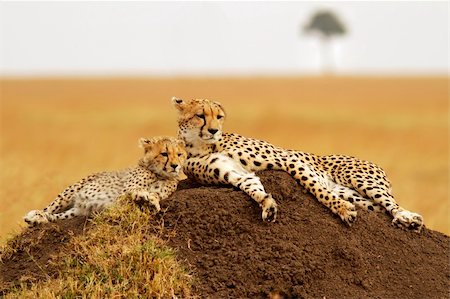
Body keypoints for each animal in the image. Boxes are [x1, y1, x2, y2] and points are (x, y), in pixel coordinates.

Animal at [24, 137, 186, 226]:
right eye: (164, 154)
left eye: (179, 154)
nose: (175, 166)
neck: (159, 174)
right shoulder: (121, 196)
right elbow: (133, 193)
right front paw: (142, 196)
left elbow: (155, 195)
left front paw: (150, 201)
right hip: (70, 192)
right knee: (48, 208)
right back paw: (35, 216)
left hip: (76, 211)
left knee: (56, 216)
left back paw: (40, 220)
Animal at [172, 97, 426, 233]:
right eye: (200, 115)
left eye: (219, 116)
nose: (214, 130)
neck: (203, 145)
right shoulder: (238, 173)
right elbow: (253, 187)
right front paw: (268, 205)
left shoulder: (289, 159)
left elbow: (315, 188)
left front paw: (342, 210)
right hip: (356, 195)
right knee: (379, 209)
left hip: (362, 180)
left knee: (392, 203)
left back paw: (407, 218)